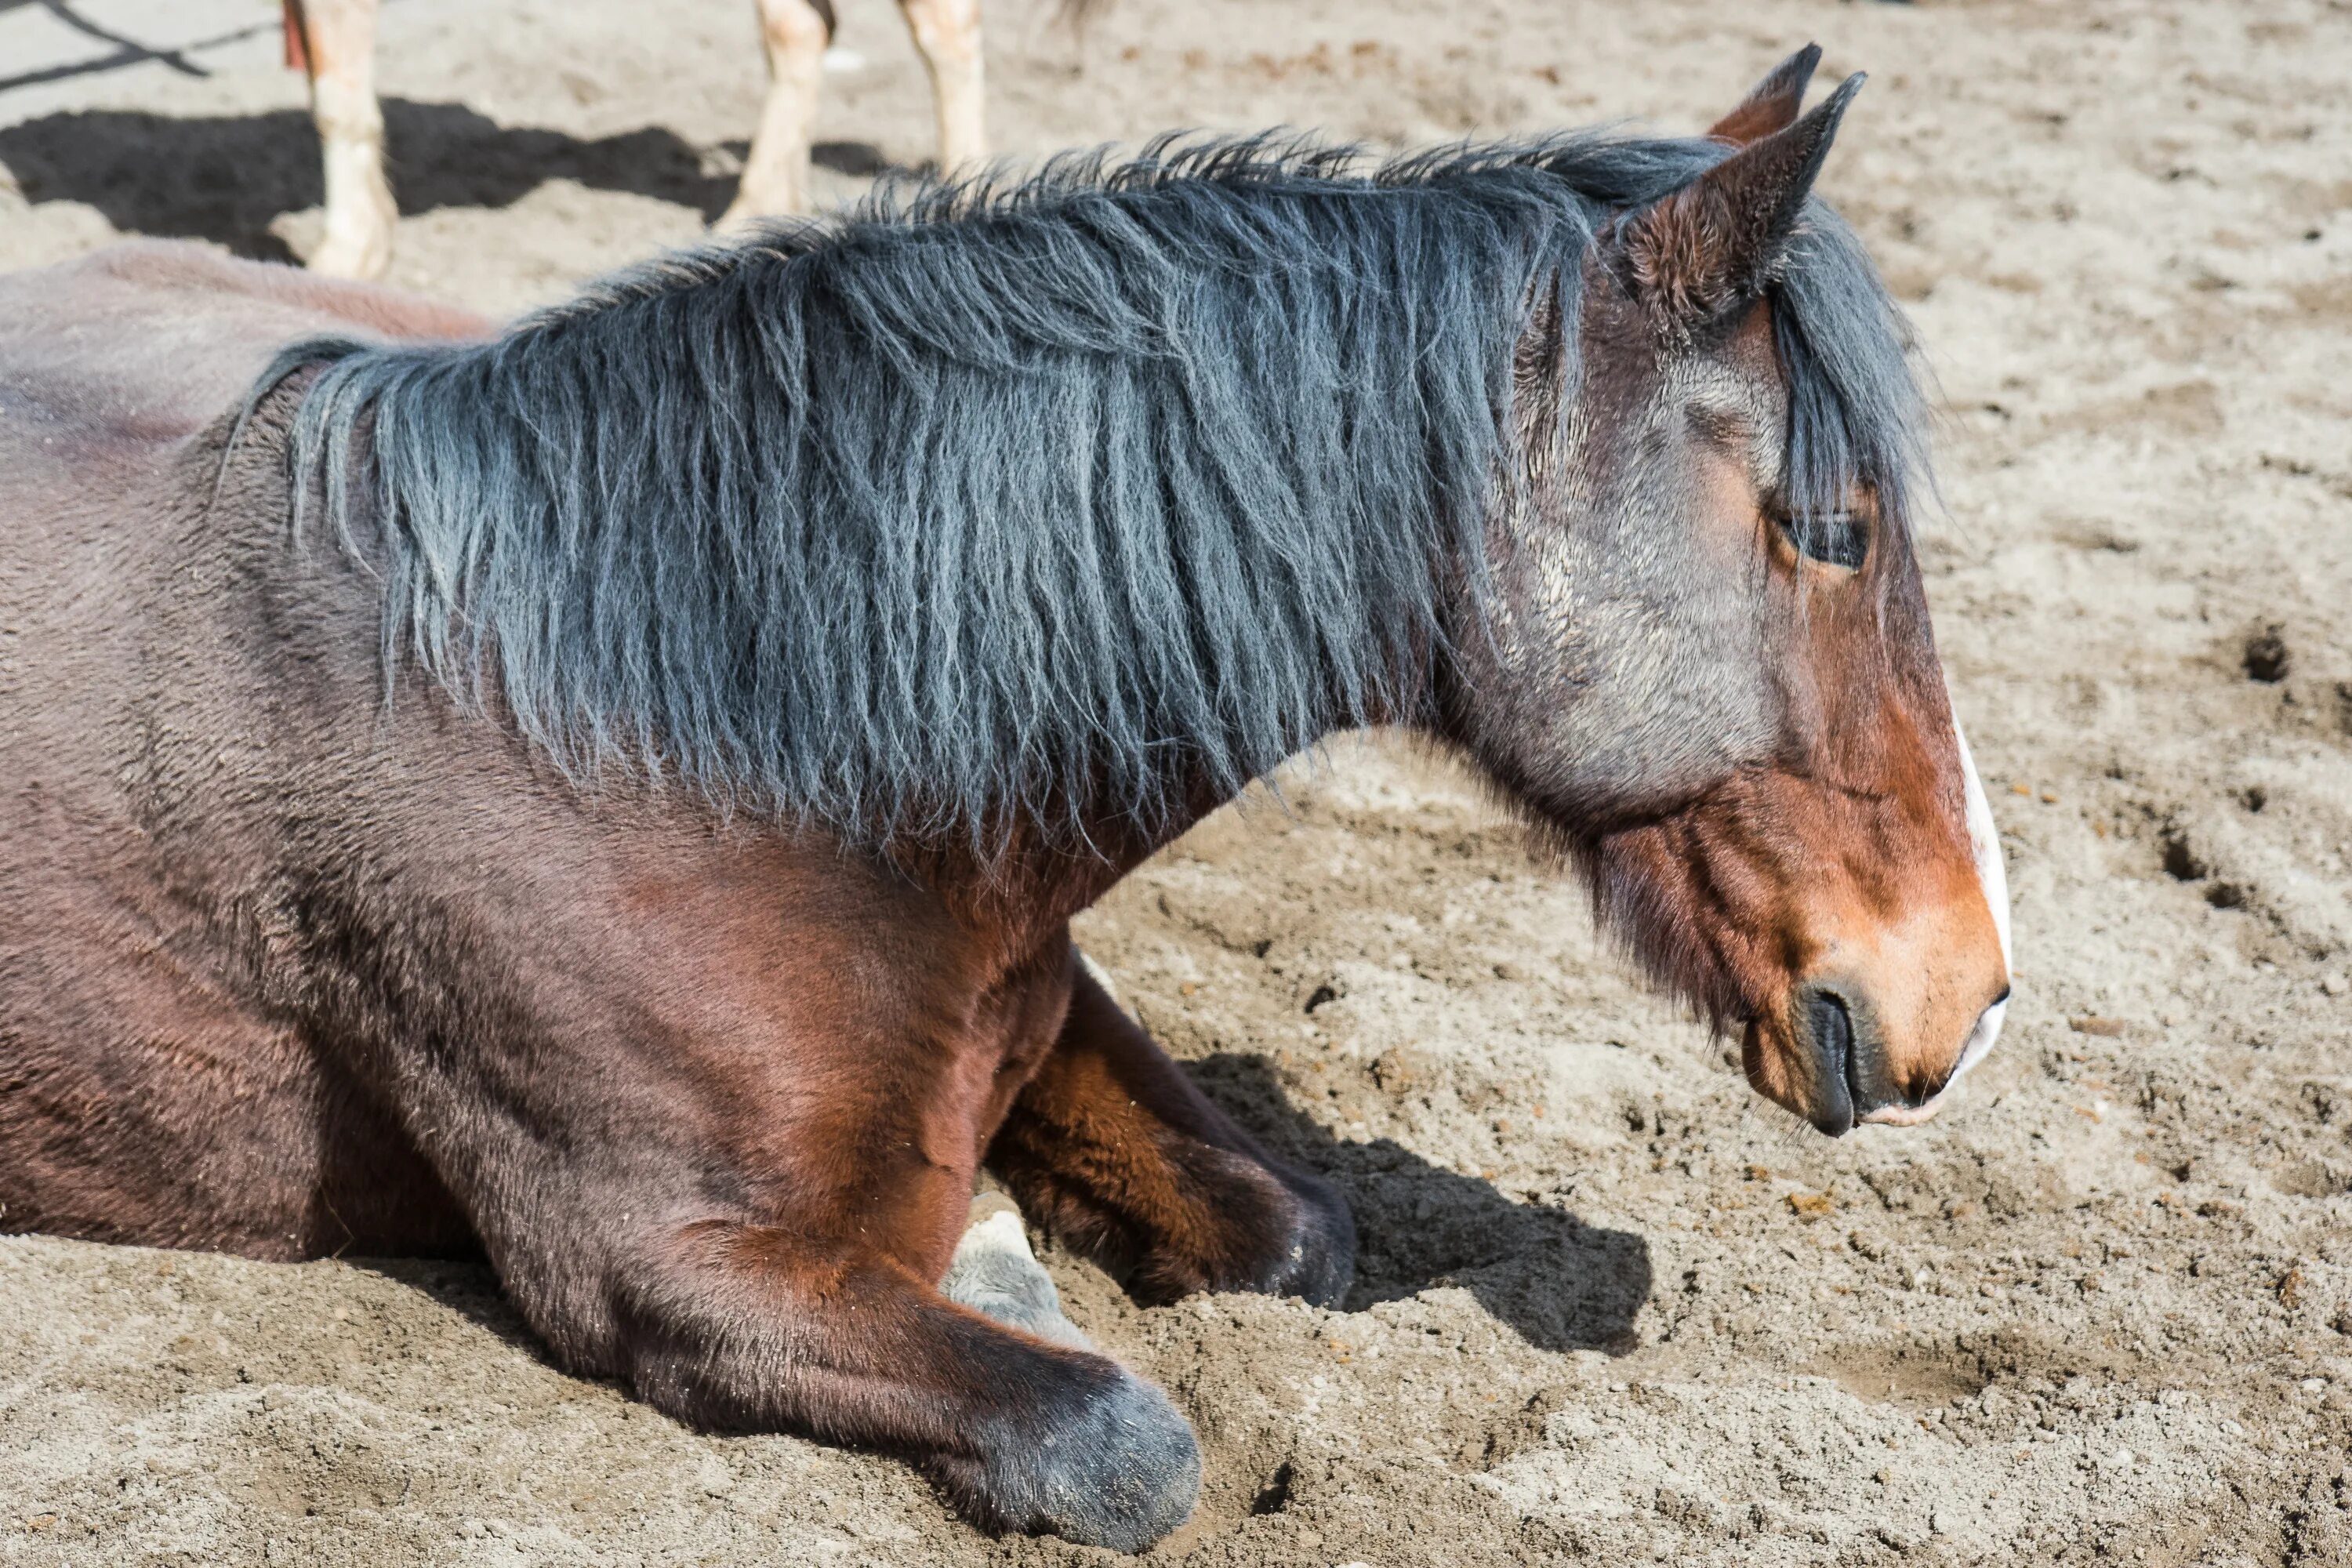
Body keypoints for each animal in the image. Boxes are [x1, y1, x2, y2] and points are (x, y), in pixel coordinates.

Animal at [4, 49, 2023, 1561]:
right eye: (1828, 526)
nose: (1967, 1003)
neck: (680, 736)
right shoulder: (657, 1270)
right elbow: (1114, 1436)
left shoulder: (1039, 997)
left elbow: (1292, 1229)